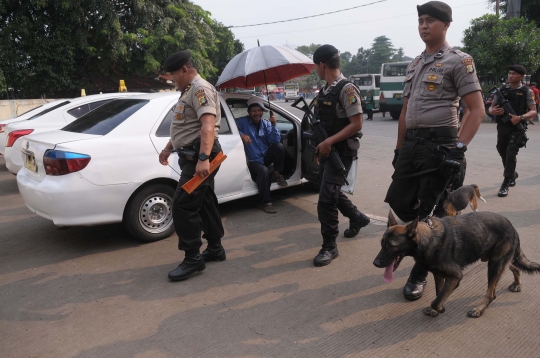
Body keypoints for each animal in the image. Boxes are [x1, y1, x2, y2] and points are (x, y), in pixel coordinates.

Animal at [374, 211, 536, 318]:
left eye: (392, 246)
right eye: (382, 243)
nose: (375, 263)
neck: (428, 239)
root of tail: (511, 226)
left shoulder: (456, 276)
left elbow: (436, 300)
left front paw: (439, 309)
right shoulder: (439, 275)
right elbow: (439, 294)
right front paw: (436, 310)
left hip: (495, 265)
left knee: (491, 293)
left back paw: (479, 309)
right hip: (497, 261)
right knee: (514, 267)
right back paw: (517, 284)